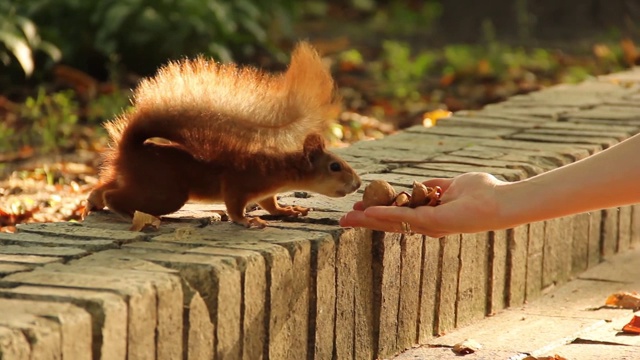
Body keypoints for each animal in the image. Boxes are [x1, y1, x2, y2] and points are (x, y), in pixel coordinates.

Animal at [85, 42, 362, 226]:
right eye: (335, 167)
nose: (358, 184)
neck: (281, 169)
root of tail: (131, 148)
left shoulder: (265, 193)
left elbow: (270, 204)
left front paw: (287, 210)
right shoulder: (239, 183)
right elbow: (234, 207)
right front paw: (247, 222)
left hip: (134, 180)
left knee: (104, 186)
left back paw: (92, 203)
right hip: (165, 191)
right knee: (114, 195)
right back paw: (129, 214)